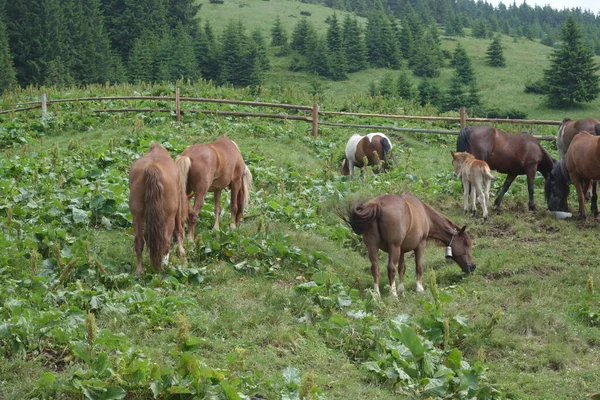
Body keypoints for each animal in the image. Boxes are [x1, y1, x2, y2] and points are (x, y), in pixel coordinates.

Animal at [129, 142, 188, 274]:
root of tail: (152, 167)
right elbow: (179, 229)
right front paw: (182, 252)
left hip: (137, 215)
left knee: (139, 241)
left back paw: (140, 271)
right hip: (168, 217)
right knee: (165, 242)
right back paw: (163, 268)